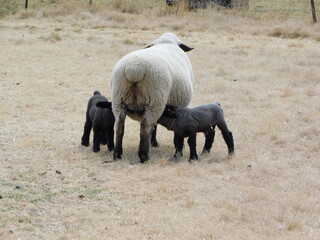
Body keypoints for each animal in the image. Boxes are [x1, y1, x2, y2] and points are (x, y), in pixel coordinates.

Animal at [108, 32, 192, 163]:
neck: (166, 43)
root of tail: (134, 69)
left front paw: (154, 143)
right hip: (155, 99)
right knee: (146, 126)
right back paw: (144, 156)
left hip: (119, 98)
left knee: (119, 125)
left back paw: (118, 154)